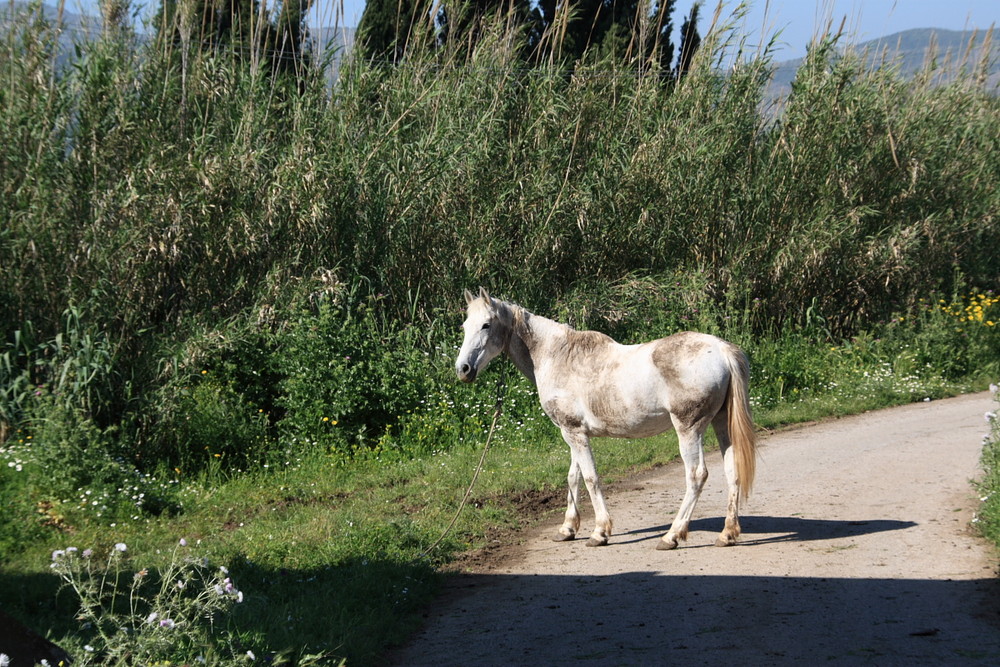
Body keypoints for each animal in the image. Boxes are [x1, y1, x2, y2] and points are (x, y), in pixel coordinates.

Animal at [456, 288, 756, 548]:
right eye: (464, 326)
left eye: (486, 325)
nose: (463, 369)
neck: (558, 356)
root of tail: (722, 351)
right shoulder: (572, 433)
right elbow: (573, 477)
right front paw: (567, 529)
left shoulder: (574, 433)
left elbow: (590, 478)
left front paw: (600, 532)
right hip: (721, 423)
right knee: (732, 470)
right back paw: (727, 534)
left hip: (689, 428)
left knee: (696, 475)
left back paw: (671, 536)